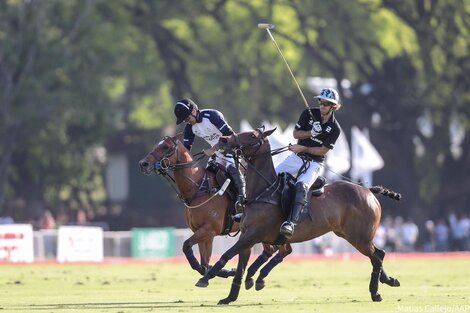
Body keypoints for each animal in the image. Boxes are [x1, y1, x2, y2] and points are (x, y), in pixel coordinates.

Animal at [196, 126, 402, 302]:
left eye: (252, 135)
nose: (223, 139)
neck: (263, 192)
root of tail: (368, 191)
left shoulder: (252, 235)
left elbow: (226, 254)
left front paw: (205, 278)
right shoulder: (247, 237)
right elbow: (239, 268)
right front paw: (229, 297)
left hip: (359, 237)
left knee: (377, 256)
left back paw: (375, 292)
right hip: (349, 234)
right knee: (378, 255)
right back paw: (388, 281)